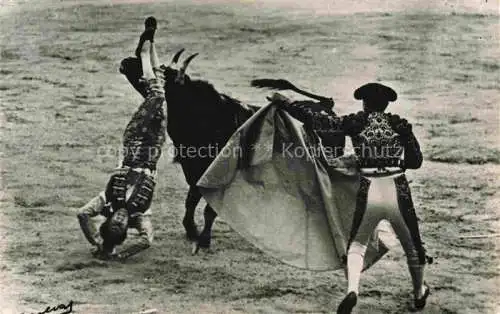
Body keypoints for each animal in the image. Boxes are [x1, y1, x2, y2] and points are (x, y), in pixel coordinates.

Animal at [119, 51, 342, 253]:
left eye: (161, 74)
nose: (127, 60)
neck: (207, 118)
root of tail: (326, 109)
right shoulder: (195, 171)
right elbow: (191, 201)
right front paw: (191, 230)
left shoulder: (220, 177)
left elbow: (209, 210)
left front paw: (204, 239)